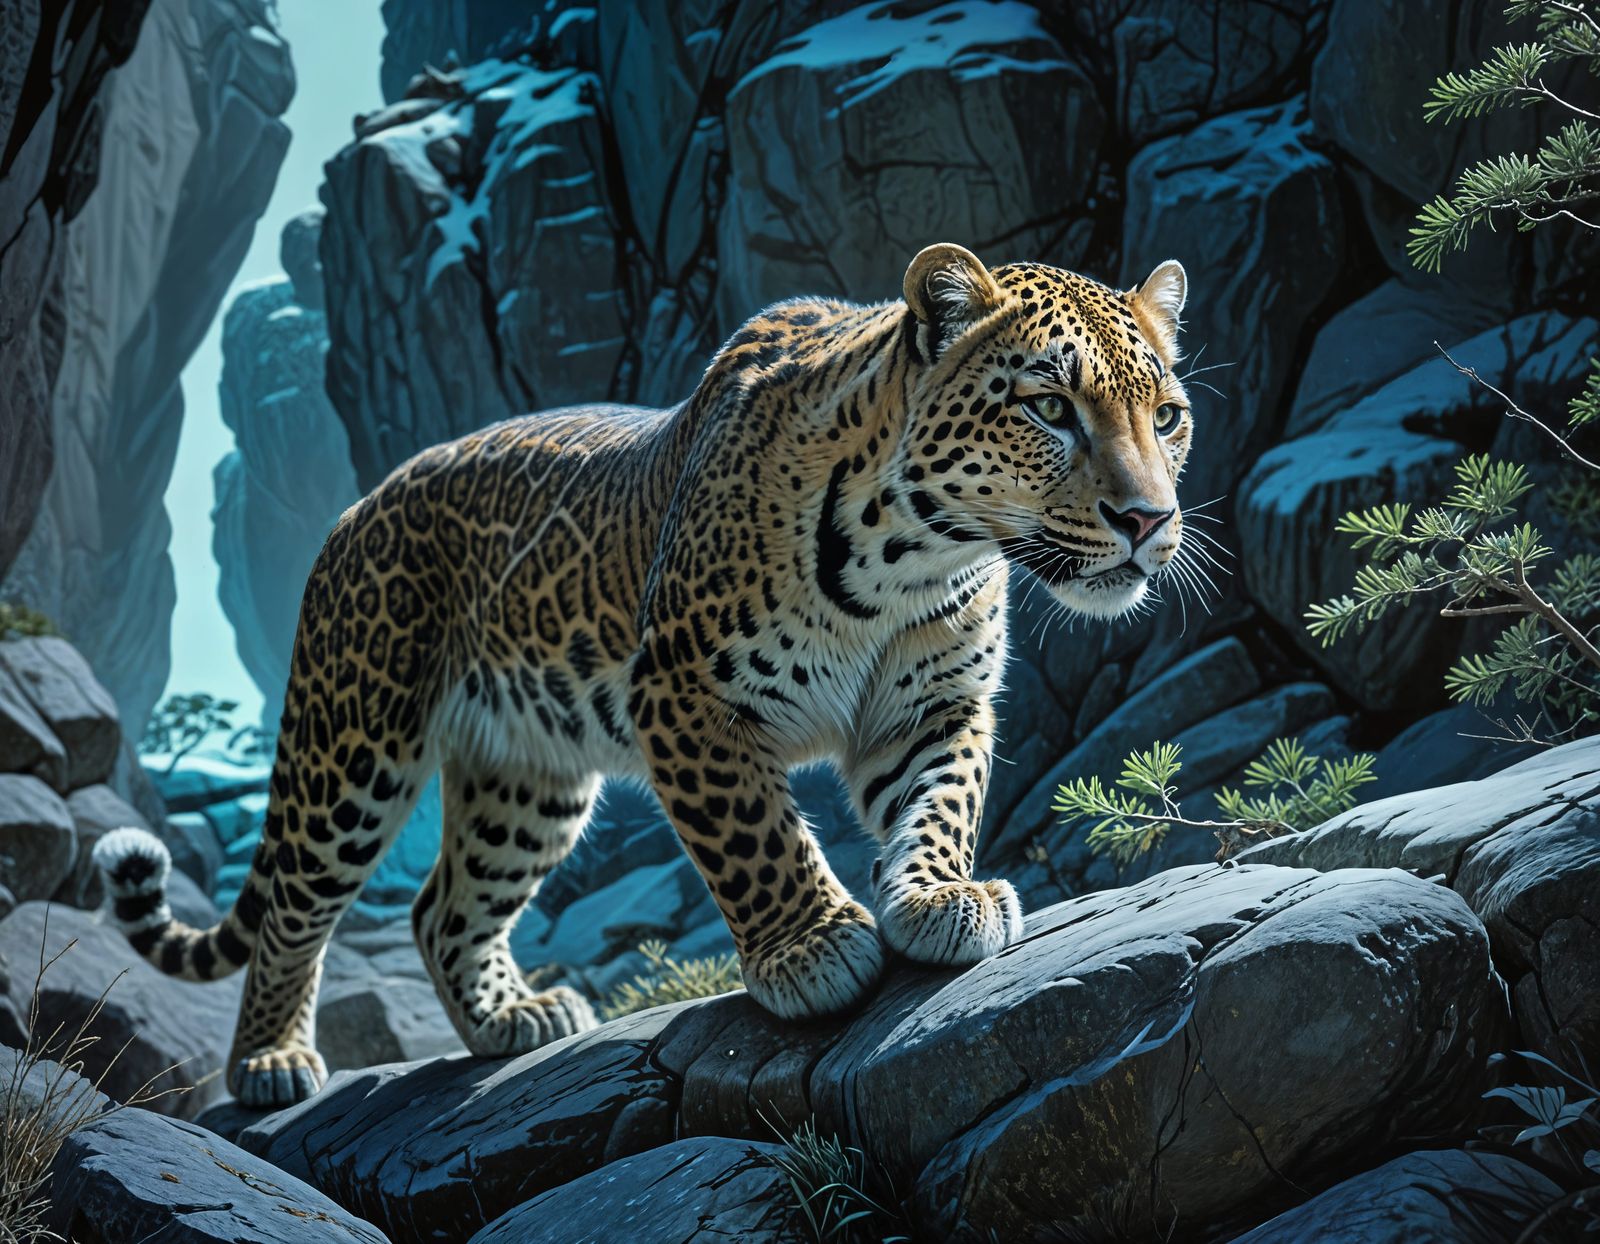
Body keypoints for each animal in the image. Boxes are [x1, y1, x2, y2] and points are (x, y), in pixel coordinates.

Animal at [95, 243, 1193, 1108]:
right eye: (1048, 407)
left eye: (1169, 416)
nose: (1148, 520)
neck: (916, 552)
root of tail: (355, 510)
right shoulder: (682, 696)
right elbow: (755, 835)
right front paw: (812, 948)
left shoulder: (932, 703)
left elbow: (942, 799)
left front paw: (939, 896)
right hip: (354, 740)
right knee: (295, 905)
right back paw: (269, 1060)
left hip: (526, 779)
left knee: (441, 906)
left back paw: (510, 1021)